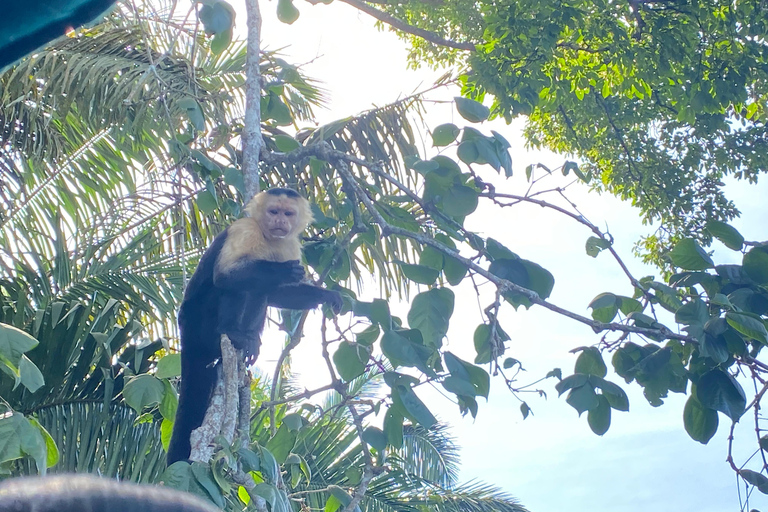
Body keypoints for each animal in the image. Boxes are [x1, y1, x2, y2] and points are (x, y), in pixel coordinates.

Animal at [168, 187, 342, 464]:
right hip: (199, 322)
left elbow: (278, 294)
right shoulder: (244, 228)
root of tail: (185, 327)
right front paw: (280, 271)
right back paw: (232, 334)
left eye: (287, 213)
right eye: (273, 211)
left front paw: (327, 295)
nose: (279, 221)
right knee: (233, 287)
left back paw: (249, 339)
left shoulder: (290, 244)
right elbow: (226, 276)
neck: (269, 238)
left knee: (261, 290)